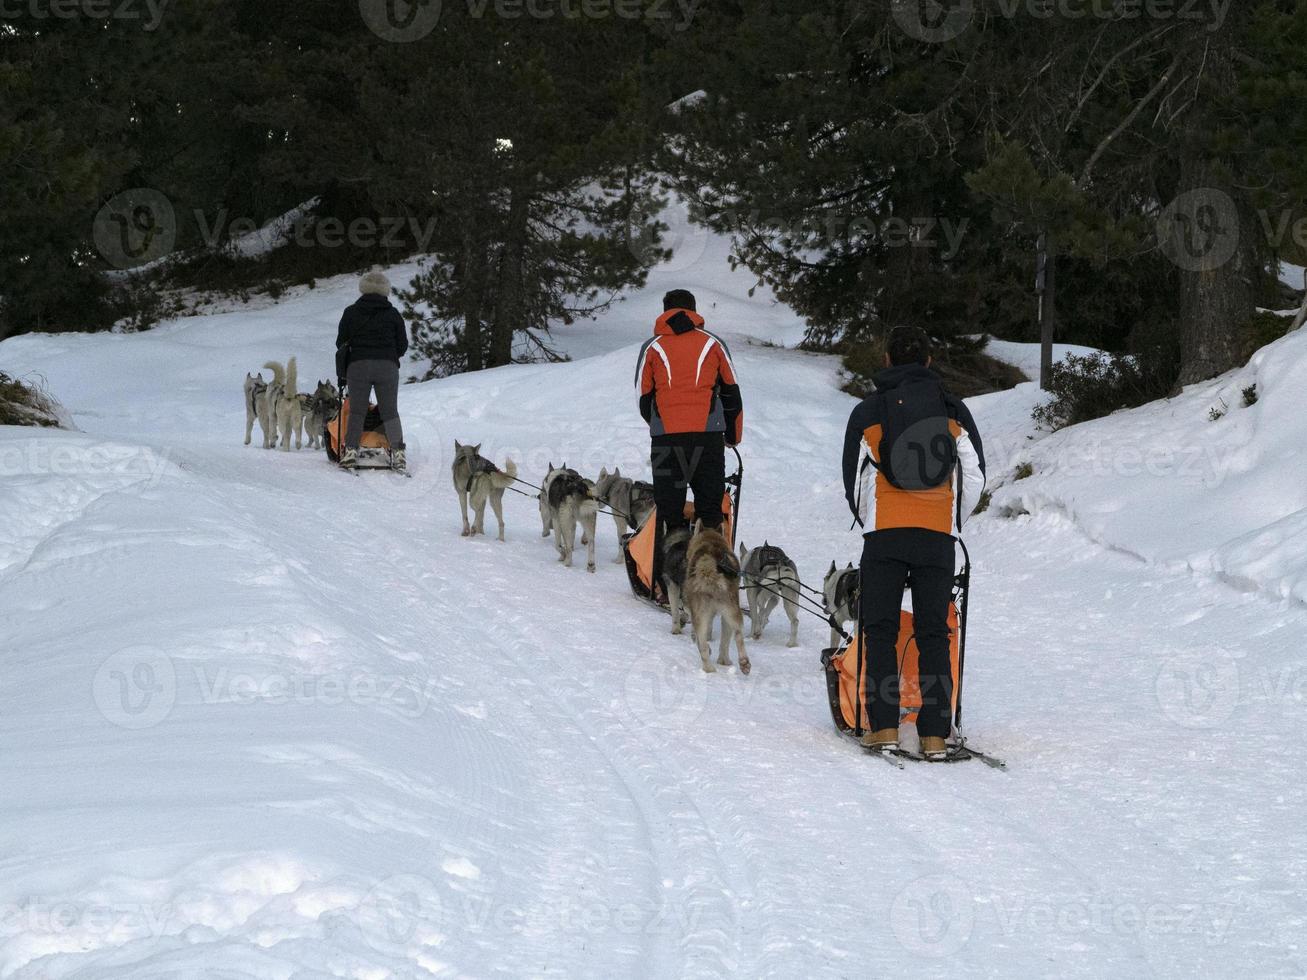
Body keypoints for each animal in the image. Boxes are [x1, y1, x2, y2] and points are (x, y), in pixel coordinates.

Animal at [684, 522, 747, 674]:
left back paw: (709, 669)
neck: (711, 542)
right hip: (731, 610)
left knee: (703, 645)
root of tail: (708, 566)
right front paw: (723, 661)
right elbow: (724, 641)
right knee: (738, 634)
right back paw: (743, 663)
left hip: (706, 614)